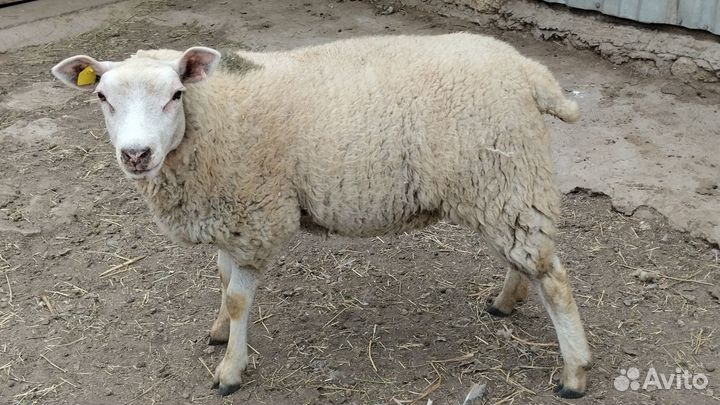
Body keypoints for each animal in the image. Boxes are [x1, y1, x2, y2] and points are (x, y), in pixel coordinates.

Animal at [51, 32, 591, 399]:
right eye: (102, 97)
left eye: (175, 95)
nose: (136, 155)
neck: (213, 117)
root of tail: (528, 71)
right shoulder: (229, 214)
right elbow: (223, 281)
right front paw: (220, 334)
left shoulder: (255, 214)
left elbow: (238, 299)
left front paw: (230, 370)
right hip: (501, 184)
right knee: (525, 261)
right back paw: (506, 301)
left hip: (507, 178)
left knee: (553, 278)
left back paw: (575, 373)